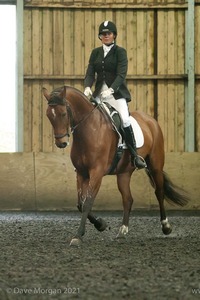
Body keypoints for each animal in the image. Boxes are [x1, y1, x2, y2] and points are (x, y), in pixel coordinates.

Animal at [42, 85, 189, 246]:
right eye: (49, 115)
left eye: (63, 113)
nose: (61, 143)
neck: (90, 129)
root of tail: (150, 120)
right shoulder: (81, 173)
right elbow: (80, 203)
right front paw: (101, 224)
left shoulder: (96, 173)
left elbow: (87, 202)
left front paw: (78, 235)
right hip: (124, 173)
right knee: (128, 199)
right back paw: (122, 231)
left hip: (155, 165)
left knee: (159, 192)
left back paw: (166, 226)